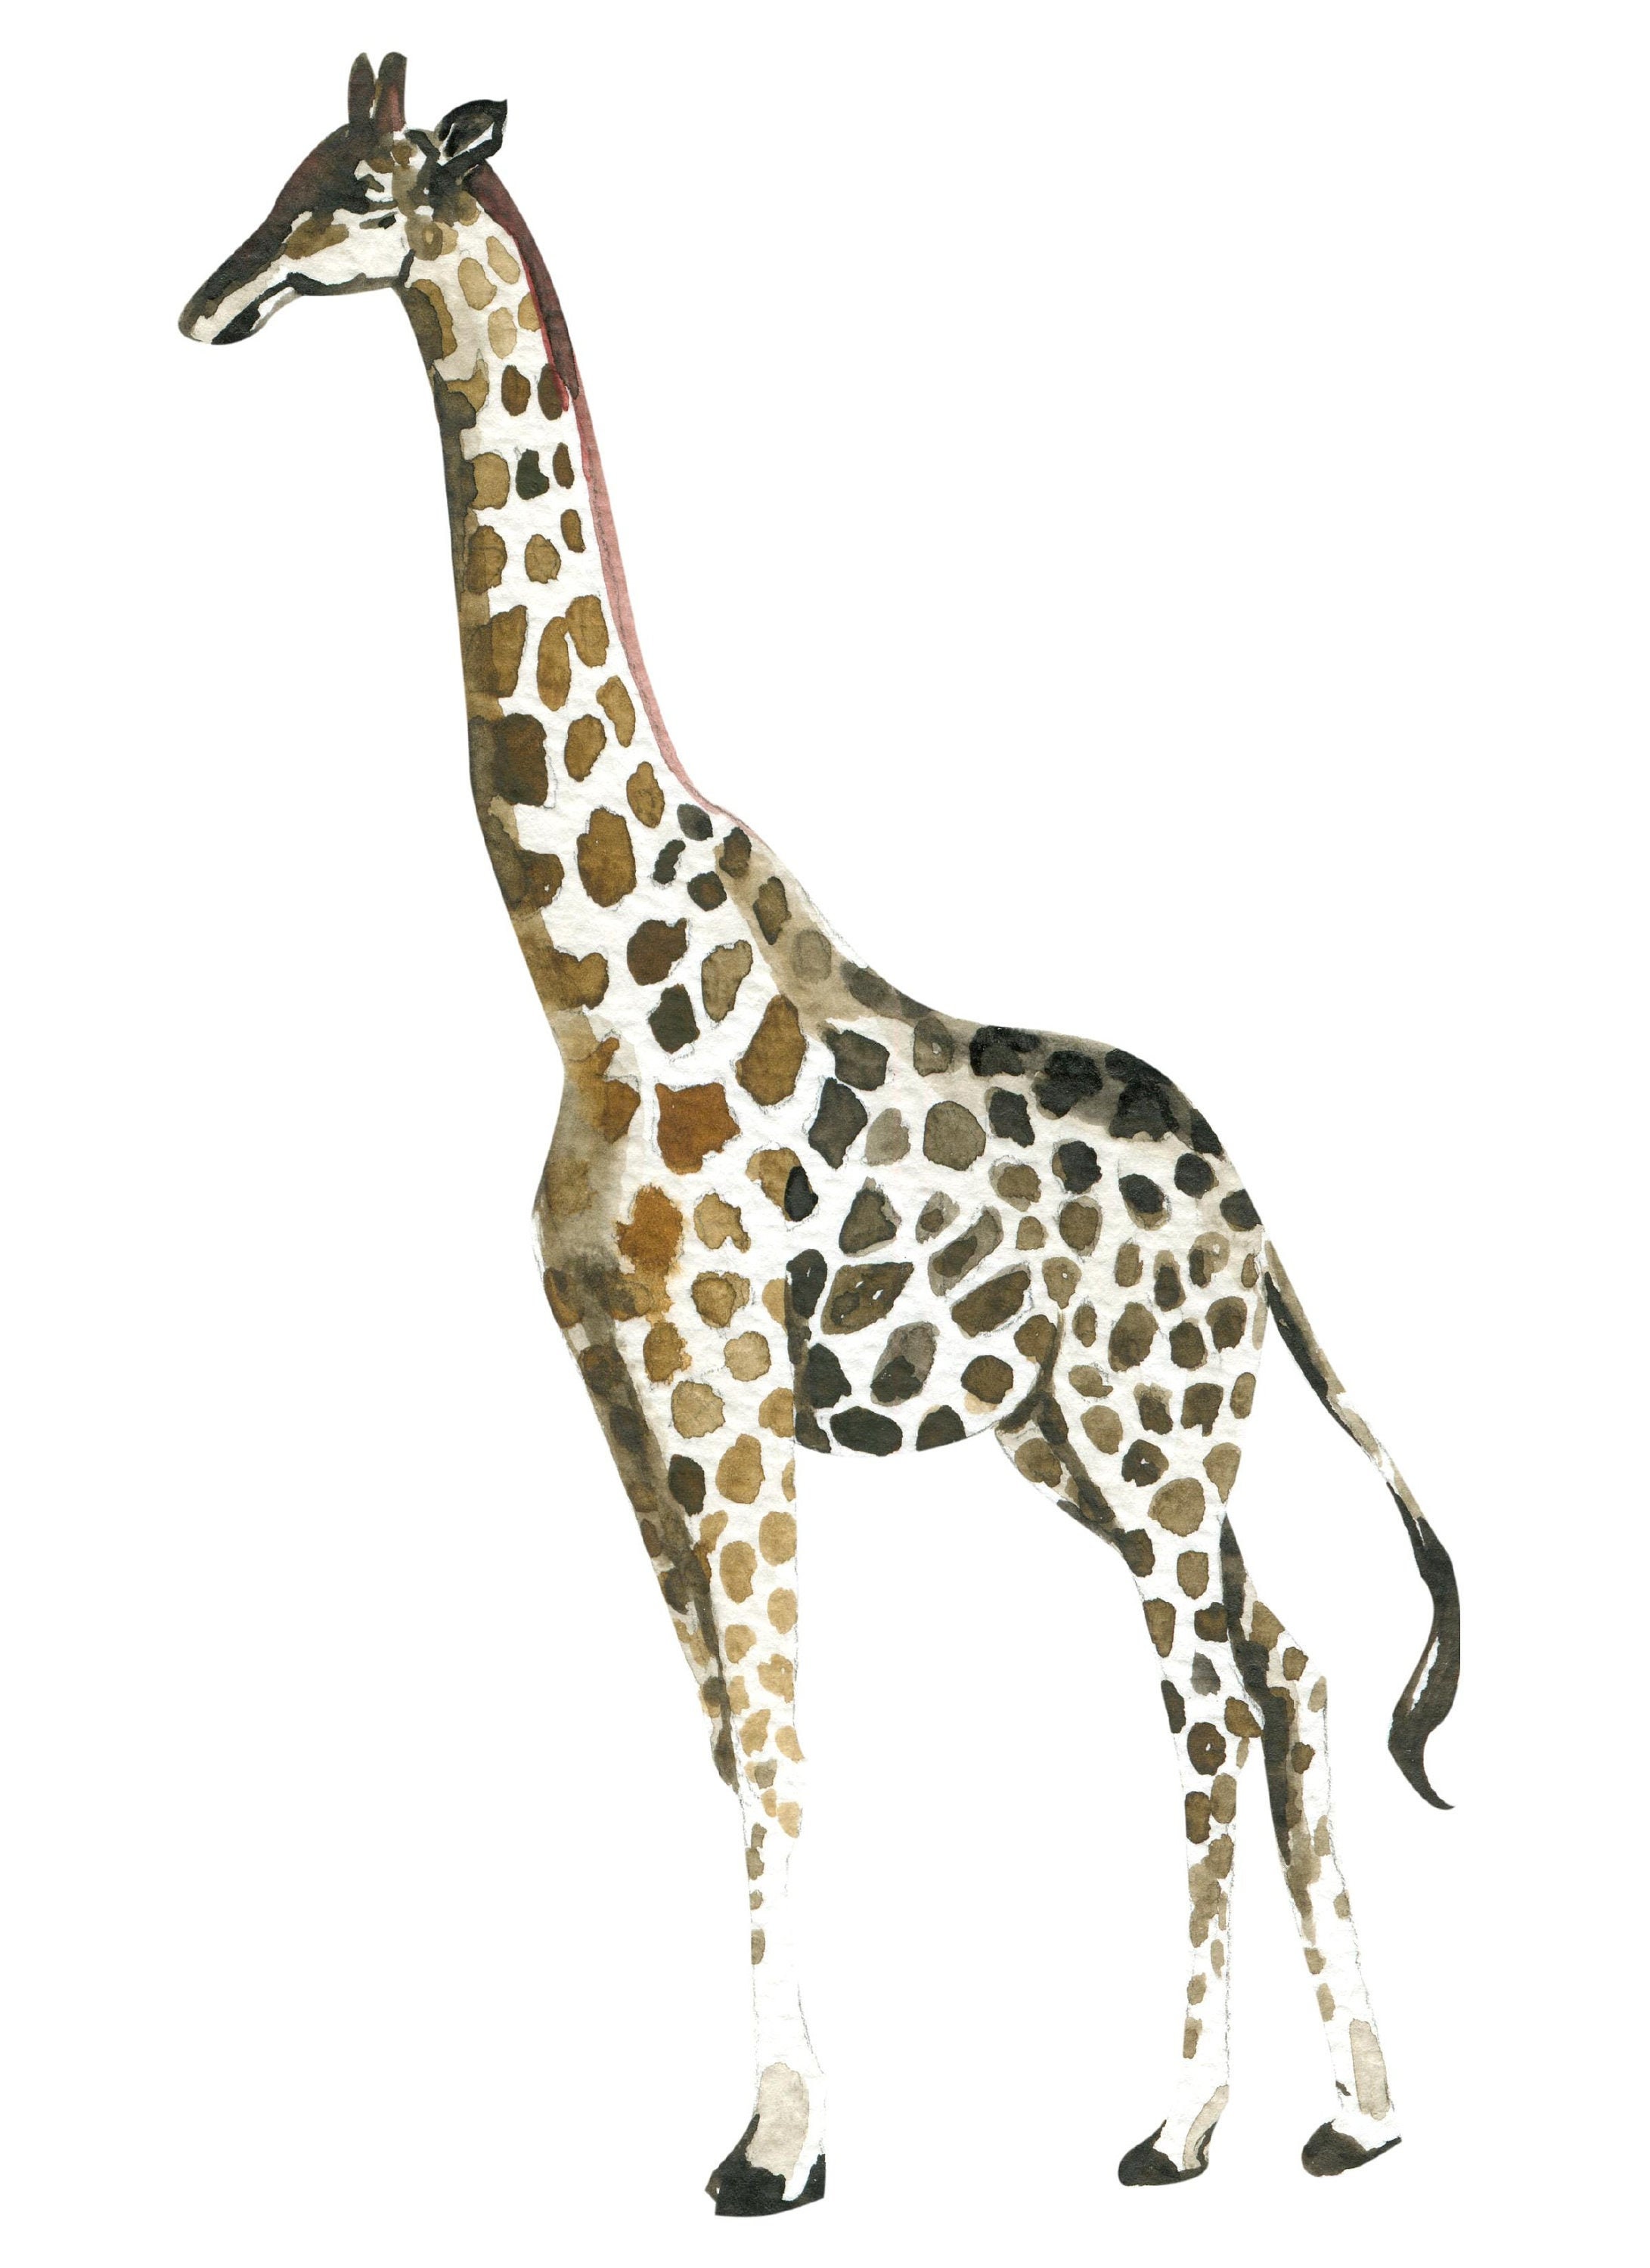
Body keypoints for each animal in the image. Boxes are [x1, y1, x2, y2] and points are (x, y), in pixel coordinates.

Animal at [179, 54, 1460, 2213]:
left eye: (355, 193)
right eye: (276, 178)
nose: (208, 303)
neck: (588, 987)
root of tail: (1253, 1211)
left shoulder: (728, 1390)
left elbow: (782, 1743)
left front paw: (778, 2151)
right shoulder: (620, 1391)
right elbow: (723, 1742)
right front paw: (774, 2123)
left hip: (1149, 1437)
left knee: (1204, 1709)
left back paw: (1178, 2121)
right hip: (1089, 1442)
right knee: (1282, 1668)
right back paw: (1351, 2115)